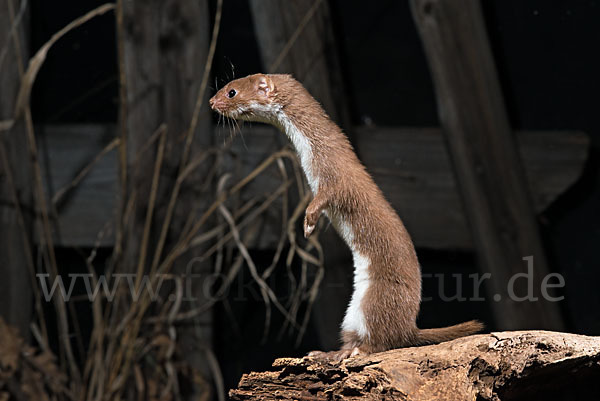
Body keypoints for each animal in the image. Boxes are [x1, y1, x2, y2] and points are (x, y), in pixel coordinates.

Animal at [210, 73, 482, 358]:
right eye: (225, 86)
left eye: (231, 91)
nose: (211, 102)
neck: (310, 156)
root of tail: (410, 327)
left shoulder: (336, 179)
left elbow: (326, 199)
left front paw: (308, 224)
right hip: (351, 314)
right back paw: (327, 353)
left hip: (373, 300)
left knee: (380, 340)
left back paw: (354, 352)